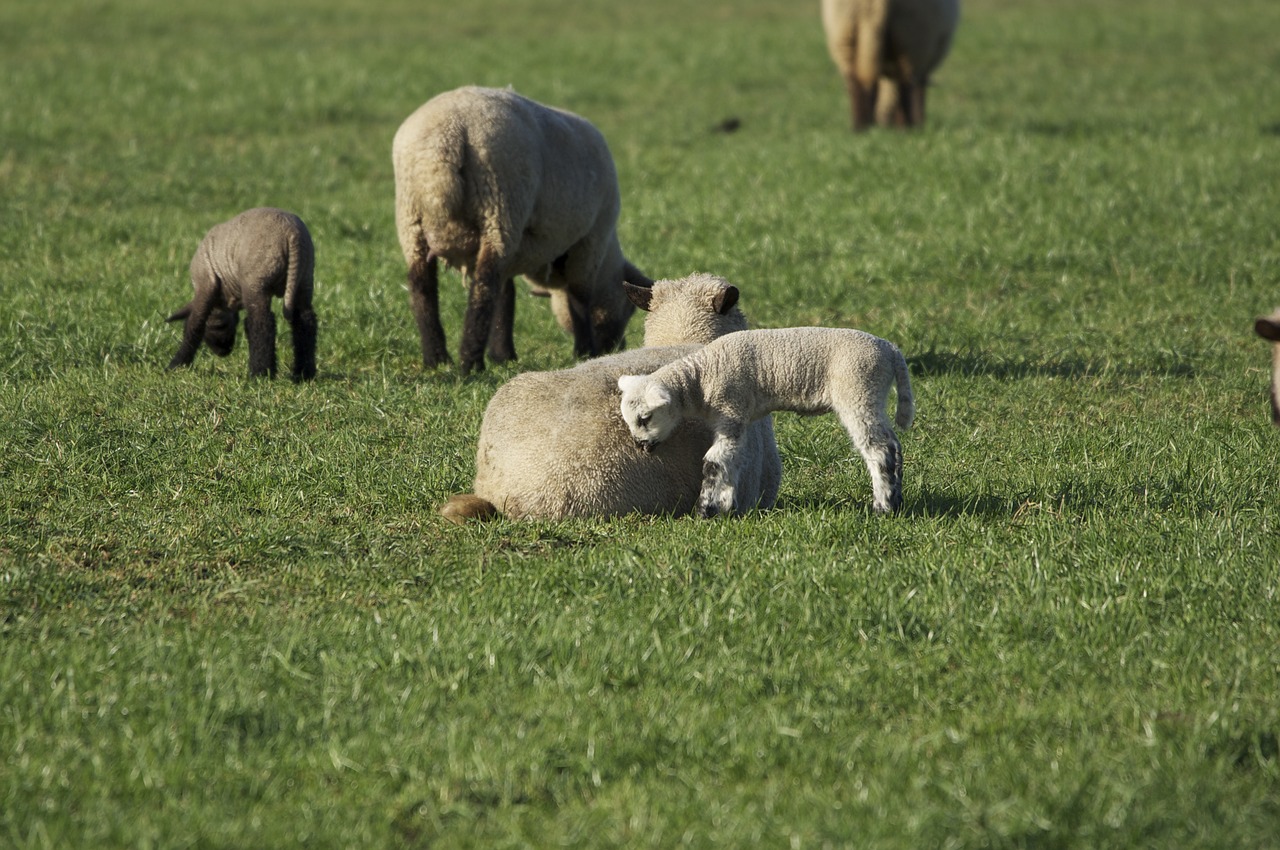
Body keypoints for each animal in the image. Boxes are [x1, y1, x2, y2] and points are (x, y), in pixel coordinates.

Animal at [167, 206, 317, 378]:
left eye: (219, 326)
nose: (223, 352)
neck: (225, 300)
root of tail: (292, 234)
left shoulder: (204, 285)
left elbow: (195, 325)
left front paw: (176, 365)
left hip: (257, 280)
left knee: (261, 324)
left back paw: (259, 374)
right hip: (304, 278)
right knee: (305, 322)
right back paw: (304, 373)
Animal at [391, 85, 655, 371]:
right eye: (630, 308)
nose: (616, 348)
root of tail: (446, 137)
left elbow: (506, 294)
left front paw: (502, 355)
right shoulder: (590, 241)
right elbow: (579, 298)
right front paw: (584, 352)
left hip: (412, 221)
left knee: (423, 287)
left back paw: (437, 359)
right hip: (501, 206)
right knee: (483, 288)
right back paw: (470, 362)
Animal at [616, 326, 911, 517]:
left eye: (645, 418)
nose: (640, 446)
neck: (701, 378)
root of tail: (892, 351)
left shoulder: (730, 406)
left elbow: (715, 461)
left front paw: (705, 510)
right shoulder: (738, 417)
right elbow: (733, 459)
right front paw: (727, 507)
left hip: (858, 389)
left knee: (879, 449)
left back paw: (882, 508)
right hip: (873, 395)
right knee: (893, 444)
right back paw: (896, 500)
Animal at [819, 0, 962, 131]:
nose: (884, 122)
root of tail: (873, 4)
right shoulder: (923, 64)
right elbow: (917, 91)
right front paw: (916, 122)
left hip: (844, 36)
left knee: (857, 84)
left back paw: (860, 127)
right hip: (912, 40)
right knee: (906, 86)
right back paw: (908, 126)